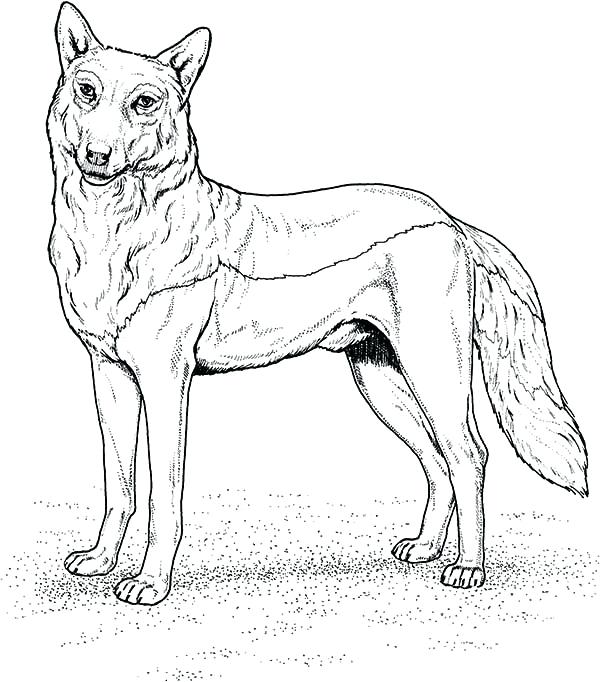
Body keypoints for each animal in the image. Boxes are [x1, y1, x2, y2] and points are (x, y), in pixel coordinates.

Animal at [48, 3, 587, 605]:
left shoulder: (165, 383)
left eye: (144, 103)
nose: (96, 155)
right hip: (382, 380)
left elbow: (163, 498)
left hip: (434, 373)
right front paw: (100, 560)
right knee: (437, 462)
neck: (116, 229)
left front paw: (149, 581)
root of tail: (448, 219)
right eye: (87, 91)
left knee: (469, 457)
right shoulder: (110, 375)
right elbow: (119, 484)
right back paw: (425, 548)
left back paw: (468, 568)